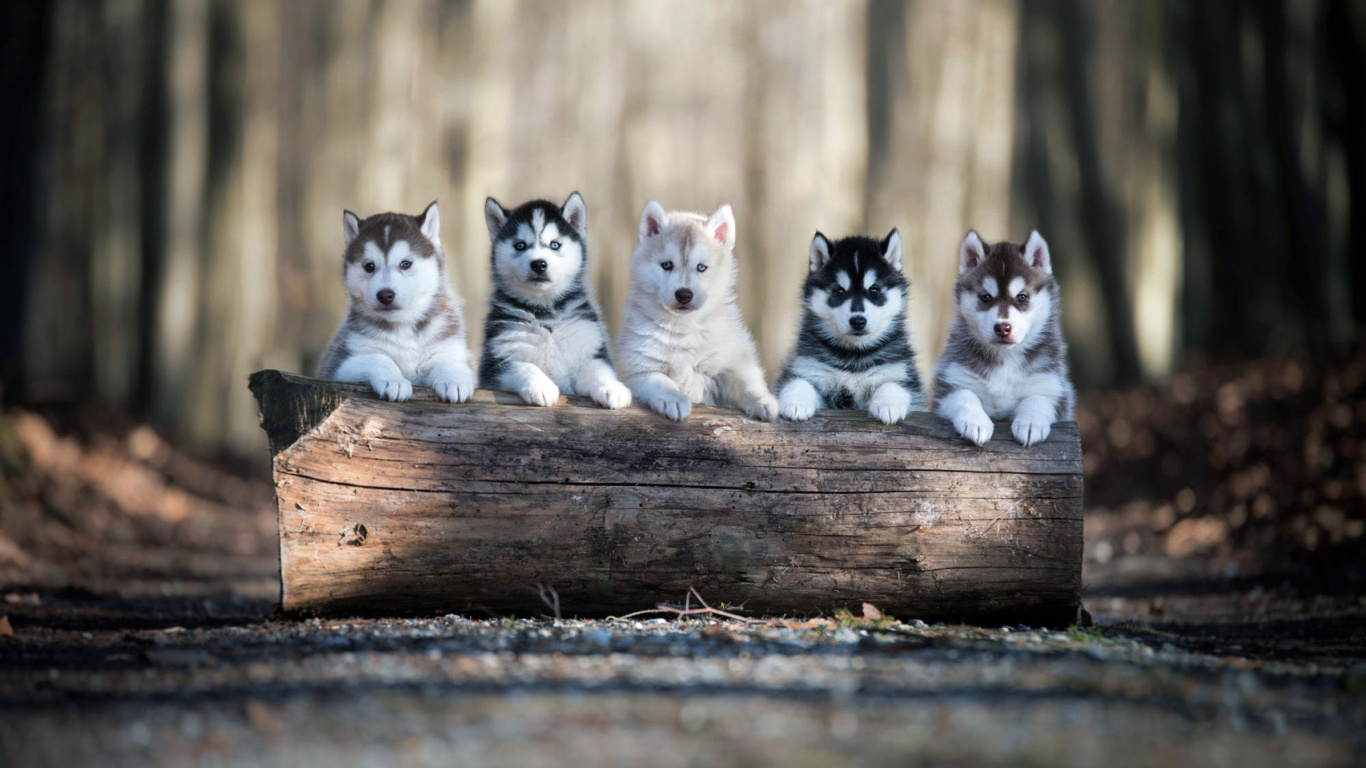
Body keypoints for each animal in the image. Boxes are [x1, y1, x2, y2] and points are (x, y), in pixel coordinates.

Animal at [316, 200, 478, 404]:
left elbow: (449, 362)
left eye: (405, 264)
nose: (385, 295)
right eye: (369, 266)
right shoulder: (339, 363)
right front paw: (394, 381)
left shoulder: (450, 347)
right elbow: (378, 358)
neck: (404, 327)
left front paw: (455, 380)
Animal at [478, 192, 631, 407]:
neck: (545, 313)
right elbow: (523, 365)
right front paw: (541, 386)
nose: (539, 264)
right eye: (520, 245)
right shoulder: (496, 362)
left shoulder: (589, 350)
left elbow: (598, 370)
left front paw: (612, 388)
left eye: (555, 245)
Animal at [620, 200, 781, 420]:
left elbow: (745, 382)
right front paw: (673, 398)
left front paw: (764, 401)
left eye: (701, 267)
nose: (684, 295)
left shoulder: (730, 361)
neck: (682, 327)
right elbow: (660, 381)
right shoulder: (638, 369)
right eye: (667, 265)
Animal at [775, 229, 923, 420]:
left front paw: (888, 404)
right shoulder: (809, 367)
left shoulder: (901, 373)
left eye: (873, 290)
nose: (858, 321)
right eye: (839, 291)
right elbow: (798, 381)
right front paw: (795, 402)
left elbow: (892, 384)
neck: (854, 355)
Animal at [934, 228, 1070, 442]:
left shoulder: (1052, 385)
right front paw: (975, 421)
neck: (1006, 357)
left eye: (1022, 297)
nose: (1003, 328)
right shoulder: (952, 381)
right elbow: (965, 396)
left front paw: (1030, 423)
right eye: (985, 297)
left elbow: (1038, 399)